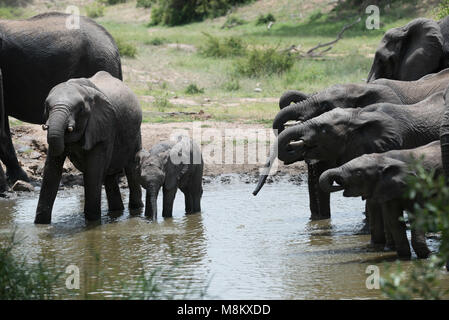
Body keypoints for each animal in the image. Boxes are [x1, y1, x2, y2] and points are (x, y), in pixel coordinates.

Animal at [35, 71, 144, 224]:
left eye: (79, 109)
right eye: (47, 107)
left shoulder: (104, 126)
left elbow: (94, 171)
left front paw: (92, 223)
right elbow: (51, 170)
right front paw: (40, 224)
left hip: (135, 133)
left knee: (131, 168)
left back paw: (136, 210)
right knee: (109, 176)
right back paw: (116, 211)